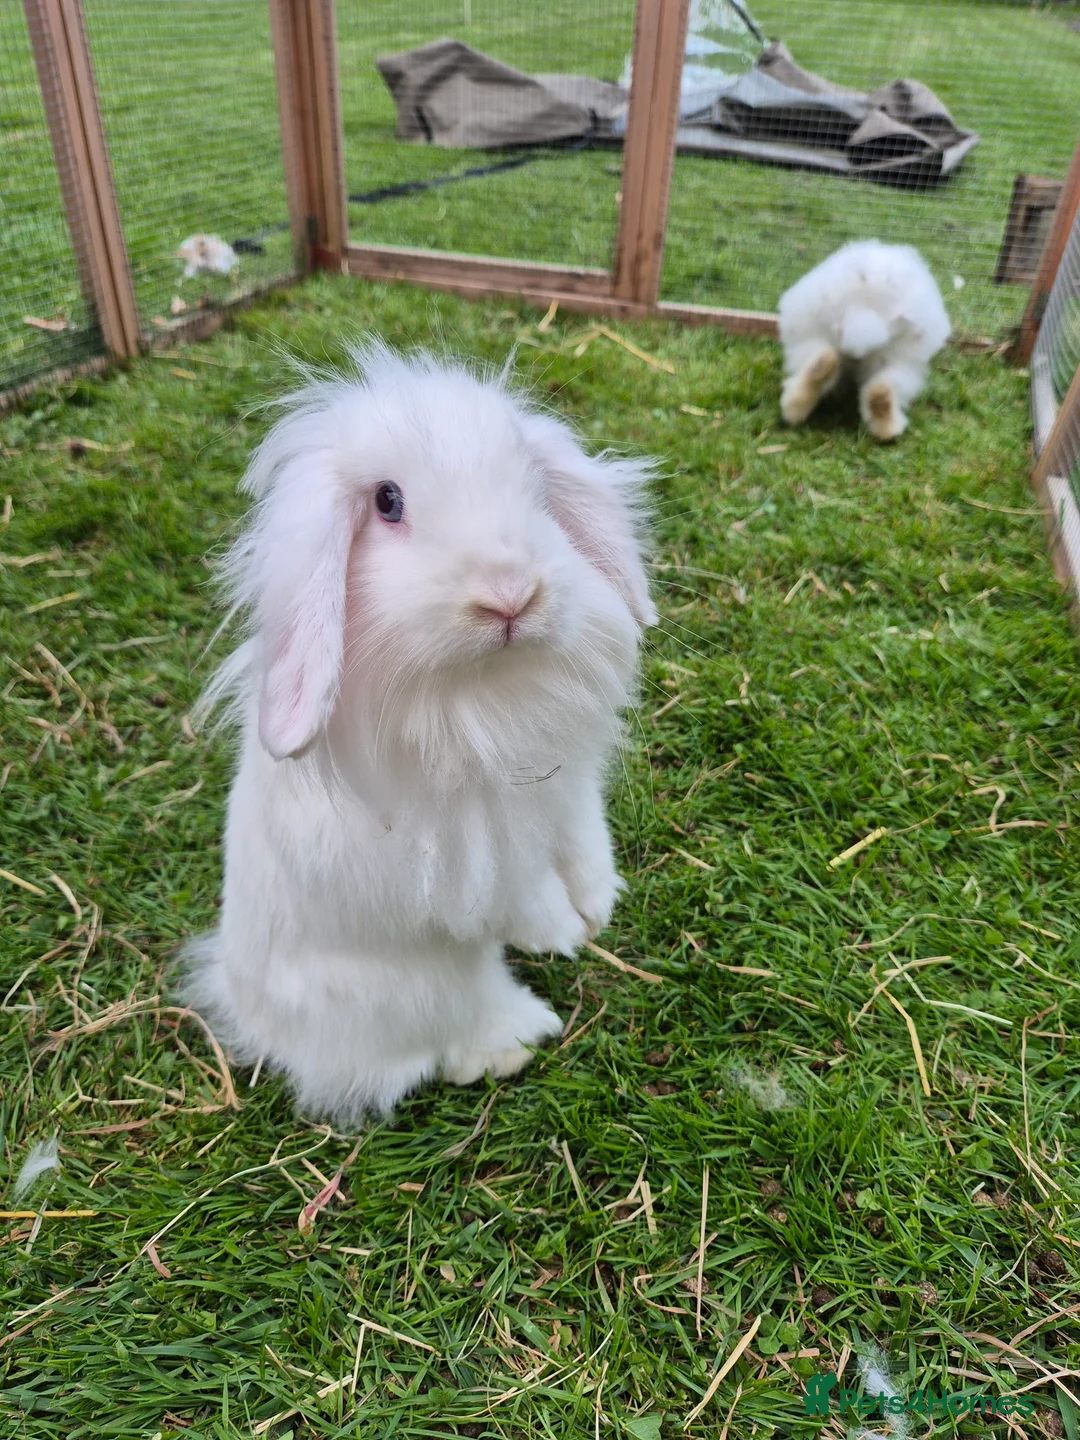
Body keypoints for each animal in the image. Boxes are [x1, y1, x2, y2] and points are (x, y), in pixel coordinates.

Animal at [184, 343, 657, 1124]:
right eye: (388, 502)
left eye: (533, 486)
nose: (510, 595)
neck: (483, 693)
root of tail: (248, 1013)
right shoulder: (481, 857)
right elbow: (527, 892)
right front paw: (565, 932)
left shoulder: (567, 795)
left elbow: (582, 845)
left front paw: (596, 911)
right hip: (410, 993)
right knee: (423, 1048)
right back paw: (516, 1039)